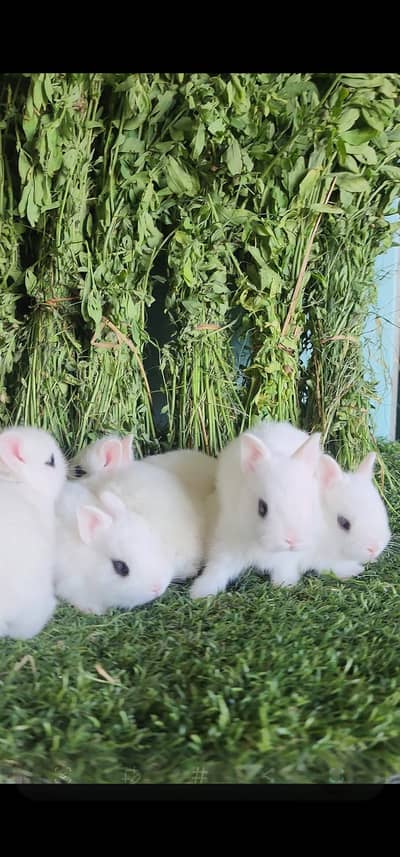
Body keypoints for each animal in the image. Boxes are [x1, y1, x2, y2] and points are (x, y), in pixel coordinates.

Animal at [190, 420, 322, 598]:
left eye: (307, 503)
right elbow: (219, 566)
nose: (291, 540)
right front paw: (201, 591)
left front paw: (285, 584)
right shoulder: (227, 540)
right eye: (262, 508)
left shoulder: (288, 557)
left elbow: (284, 566)